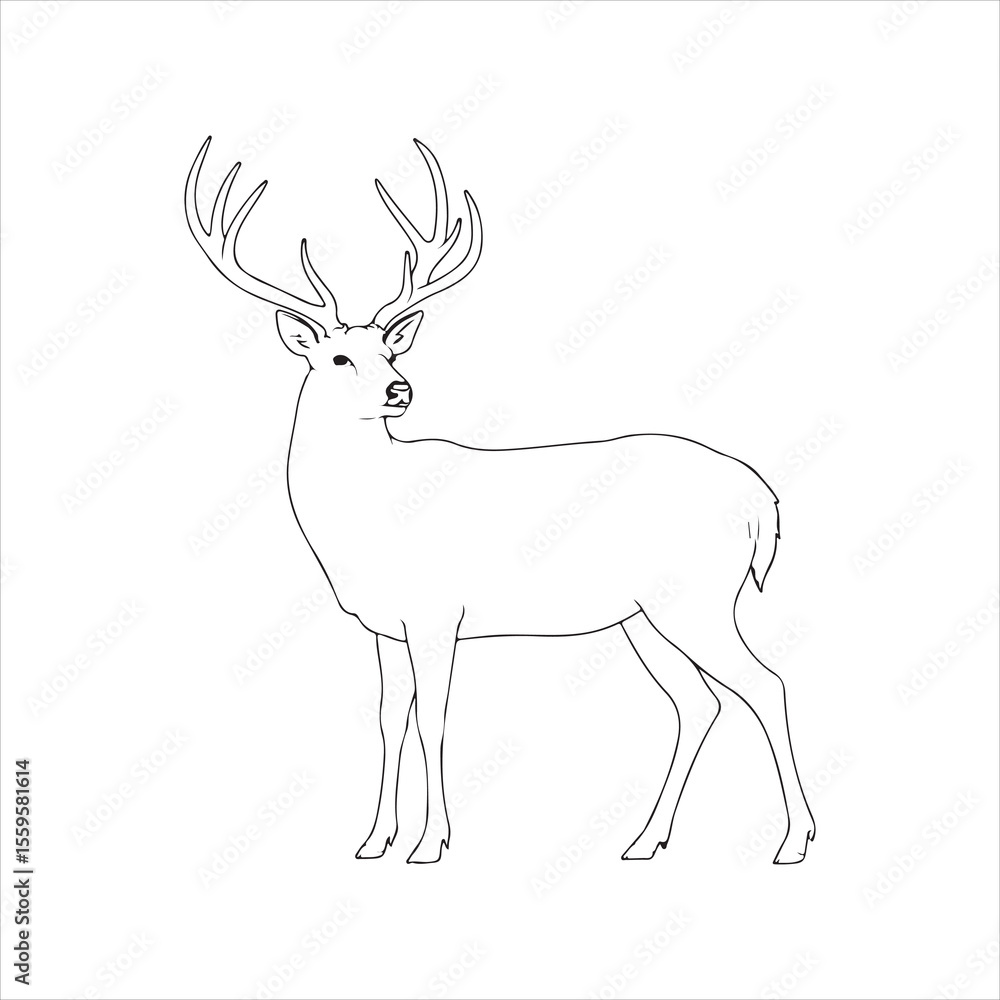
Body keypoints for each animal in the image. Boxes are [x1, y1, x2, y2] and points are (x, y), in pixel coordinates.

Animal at [184, 136, 815, 865]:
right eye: (339, 357)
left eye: (389, 349)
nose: (400, 390)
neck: (365, 522)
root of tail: (763, 498)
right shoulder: (384, 625)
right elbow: (389, 718)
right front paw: (373, 841)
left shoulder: (436, 613)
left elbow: (434, 719)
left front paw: (430, 843)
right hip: (644, 614)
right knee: (698, 702)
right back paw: (645, 841)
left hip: (699, 595)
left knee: (766, 685)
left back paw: (793, 840)